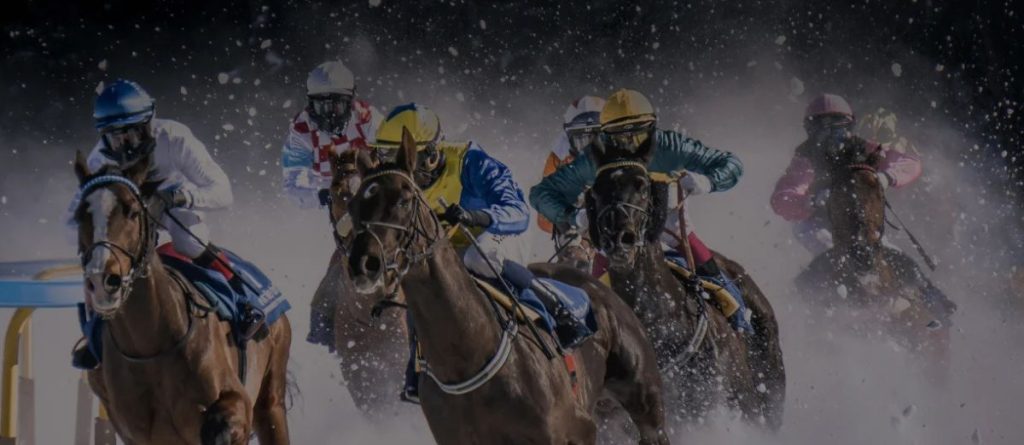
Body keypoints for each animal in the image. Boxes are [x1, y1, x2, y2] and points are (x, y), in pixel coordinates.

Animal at [72, 152, 291, 445]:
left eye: (132, 211)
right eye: (78, 216)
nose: (102, 281)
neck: (151, 349)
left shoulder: (239, 403)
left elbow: (221, 424)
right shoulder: (136, 433)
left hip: (272, 397)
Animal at [346, 128, 670, 445]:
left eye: (403, 200)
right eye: (354, 206)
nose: (363, 264)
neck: (469, 356)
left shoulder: (577, 431)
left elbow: (508, 203)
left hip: (646, 403)